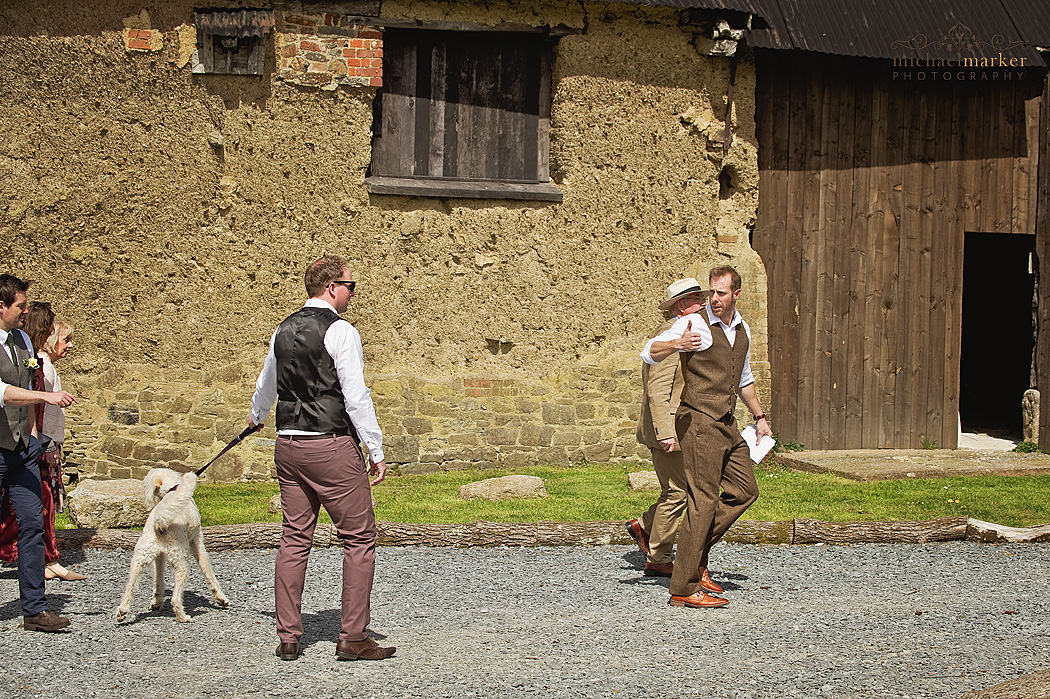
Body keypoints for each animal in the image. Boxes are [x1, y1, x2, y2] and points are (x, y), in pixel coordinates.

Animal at [114, 468, 229, 621]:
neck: (171, 489)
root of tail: (159, 523)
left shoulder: (158, 557)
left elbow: (158, 581)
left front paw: (156, 602)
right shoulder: (197, 542)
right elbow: (208, 572)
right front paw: (220, 598)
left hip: (139, 560)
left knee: (130, 588)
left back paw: (122, 611)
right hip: (182, 562)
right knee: (175, 599)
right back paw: (183, 617)